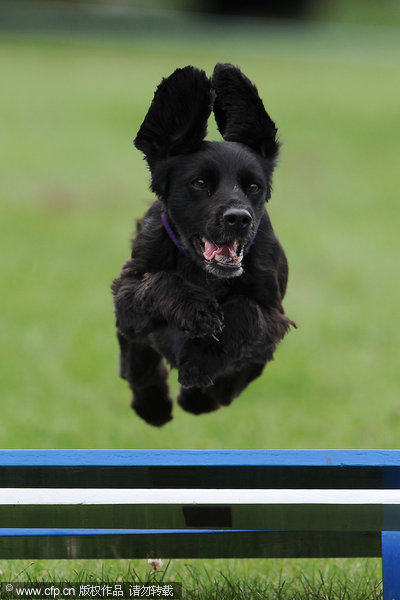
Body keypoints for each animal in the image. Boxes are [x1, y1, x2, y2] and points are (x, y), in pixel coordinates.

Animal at [111, 63, 294, 426]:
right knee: (138, 361)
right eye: (199, 183)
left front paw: (200, 362)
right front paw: (197, 310)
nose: (239, 219)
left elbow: (245, 310)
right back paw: (154, 406)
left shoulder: (274, 316)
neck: (205, 275)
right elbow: (160, 282)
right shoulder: (126, 290)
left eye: (254, 187)